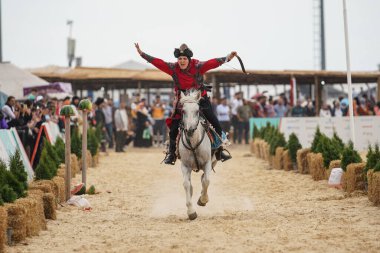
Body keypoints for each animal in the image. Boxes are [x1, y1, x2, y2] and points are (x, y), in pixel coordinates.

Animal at [178, 90, 217, 220]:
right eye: (183, 111)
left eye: (197, 110)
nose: (190, 130)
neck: (194, 143)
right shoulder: (185, 166)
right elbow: (186, 184)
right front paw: (191, 211)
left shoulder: (207, 163)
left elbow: (207, 181)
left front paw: (203, 200)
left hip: (213, 162)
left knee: (204, 178)